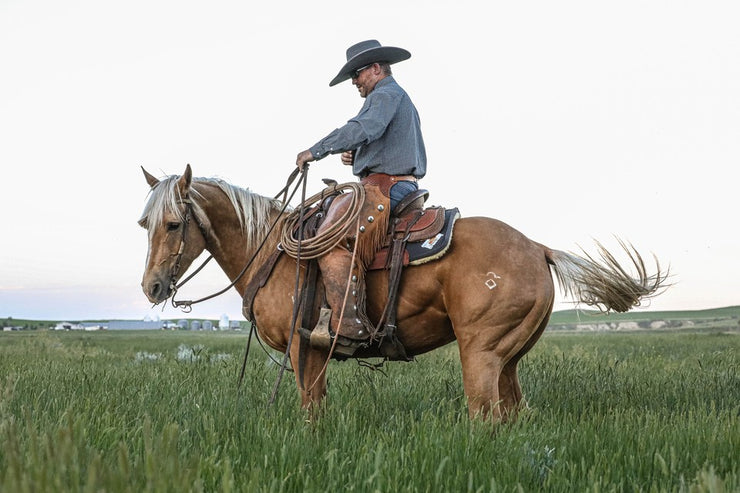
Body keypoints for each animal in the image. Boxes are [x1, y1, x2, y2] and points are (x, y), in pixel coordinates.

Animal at [137, 165, 664, 418]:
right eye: (144, 223)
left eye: (173, 223)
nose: (152, 286)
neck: (273, 250)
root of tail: (537, 247)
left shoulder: (304, 348)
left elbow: (311, 410)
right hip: (508, 358)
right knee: (515, 413)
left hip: (480, 353)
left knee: (487, 417)